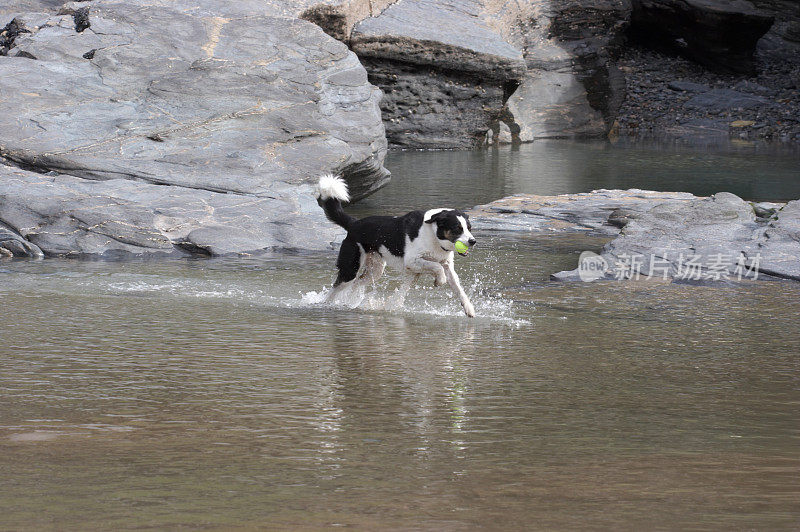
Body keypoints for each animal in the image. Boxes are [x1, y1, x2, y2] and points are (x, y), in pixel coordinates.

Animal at [316, 175, 476, 316]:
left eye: (469, 228)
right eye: (457, 229)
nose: (473, 241)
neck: (433, 233)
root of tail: (353, 223)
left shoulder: (446, 266)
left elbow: (459, 289)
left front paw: (469, 309)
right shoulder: (412, 262)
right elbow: (437, 267)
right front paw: (440, 281)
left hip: (375, 270)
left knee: (356, 284)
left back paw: (353, 304)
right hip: (350, 269)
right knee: (335, 290)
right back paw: (325, 305)